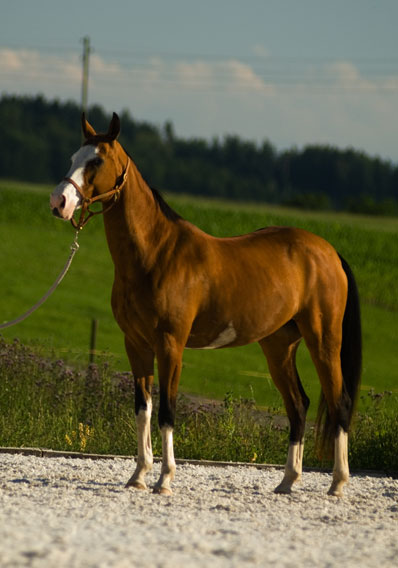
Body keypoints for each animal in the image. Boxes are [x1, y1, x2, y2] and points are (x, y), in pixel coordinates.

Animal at [49, 114, 360, 496]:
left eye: (96, 161)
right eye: (72, 159)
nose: (59, 201)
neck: (156, 253)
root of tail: (329, 252)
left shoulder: (171, 345)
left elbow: (167, 411)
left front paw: (165, 480)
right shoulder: (136, 344)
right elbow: (143, 409)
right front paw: (138, 476)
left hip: (324, 340)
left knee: (339, 402)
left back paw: (338, 484)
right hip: (279, 346)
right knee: (298, 405)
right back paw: (287, 481)